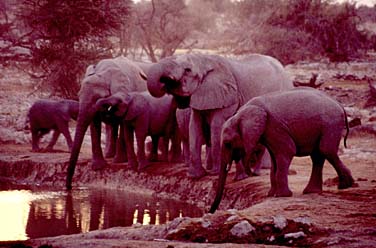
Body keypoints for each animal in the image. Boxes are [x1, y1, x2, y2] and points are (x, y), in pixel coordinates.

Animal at [66, 55, 150, 188]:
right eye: (79, 95)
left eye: (98, 98)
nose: (69, 187)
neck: (103, 72)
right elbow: (94, 124)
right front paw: (98, 167)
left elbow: (122, 121)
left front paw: (118, 161)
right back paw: (109, 155)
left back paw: (117, 158)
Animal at [147, 53, 294, 179]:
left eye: (188, 70)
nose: (166, 81)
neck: (204, 60)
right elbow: (194, 127)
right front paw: (195, 176)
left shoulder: (228, 97)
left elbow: (217, 126)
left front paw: (214, 173)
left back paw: (264, 168)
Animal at [209, 87, 356, 213]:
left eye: (228, 143)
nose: (210, 211)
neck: (242, 113)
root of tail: (340, 105)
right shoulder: (268, 132)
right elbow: (274, 160)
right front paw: (271, 194)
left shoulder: (273, 127)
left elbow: (287, 152)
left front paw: (282, 195)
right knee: (318, 155)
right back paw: (313, 191)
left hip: (330, 124)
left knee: (326, 150)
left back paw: (345, 185)